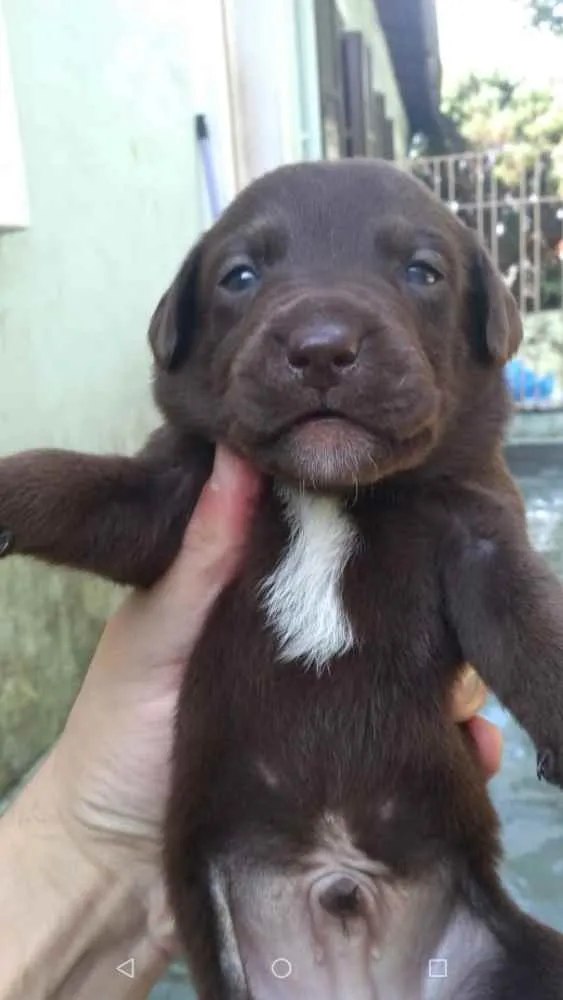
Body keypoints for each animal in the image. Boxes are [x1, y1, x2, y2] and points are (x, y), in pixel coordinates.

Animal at [1, 160, 563, 996]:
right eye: (239, 276)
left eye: (421, 272)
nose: (322, 348)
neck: (328, 491)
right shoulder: (168, 493)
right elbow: (71, 485)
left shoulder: (480, 535)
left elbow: (530, 629)